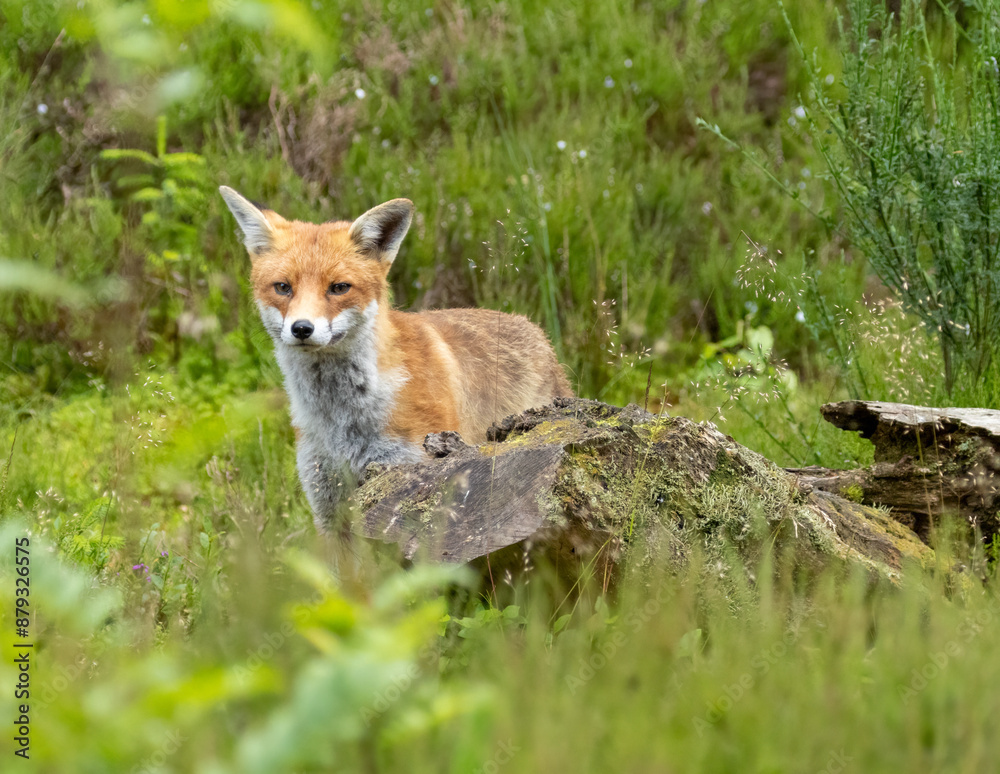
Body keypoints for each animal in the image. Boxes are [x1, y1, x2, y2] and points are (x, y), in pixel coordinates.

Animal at [220, 186, 573, 531]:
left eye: (339, 288)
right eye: (282, 287)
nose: (302, 328)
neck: (343, 421)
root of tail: (534, 329)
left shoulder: (412, 470)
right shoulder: (328, 503)